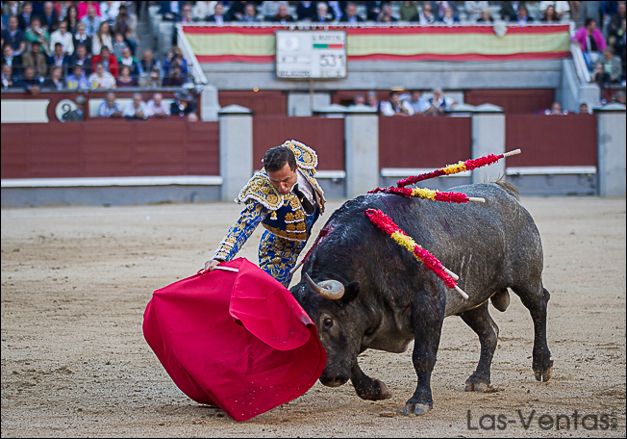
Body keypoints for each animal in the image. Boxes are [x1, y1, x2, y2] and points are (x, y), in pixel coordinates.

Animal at [291, 181, 553, 416]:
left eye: (327, 321)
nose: (330, 377)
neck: (371, 258)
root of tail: (504, 192)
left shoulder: (429, 306)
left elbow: (423, 356)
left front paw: (420, 402)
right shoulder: (359, 327)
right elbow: (351, 355)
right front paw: (374, 390)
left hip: (526, 278)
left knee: (538, 305)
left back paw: (542, 364)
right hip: (471, 301)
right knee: (490, 331)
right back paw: (480, 379)